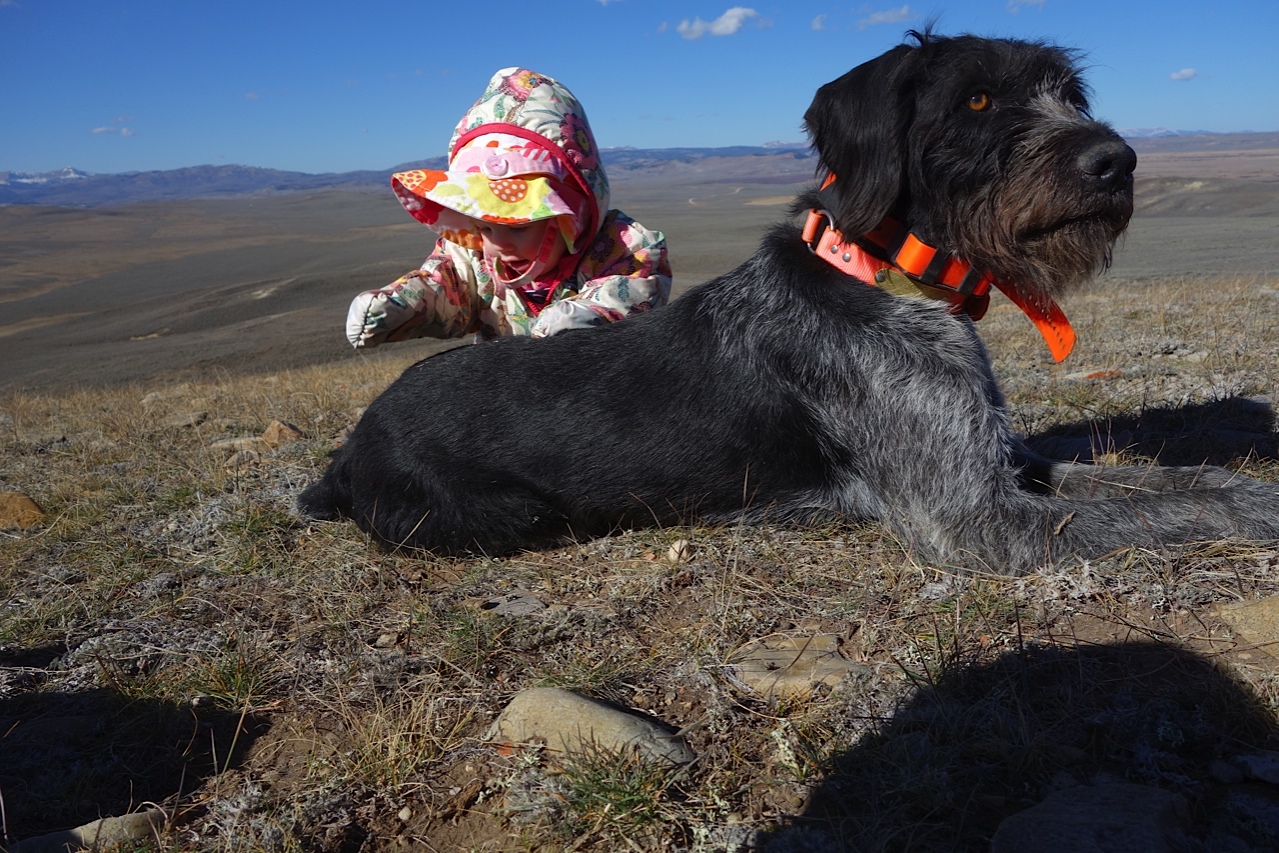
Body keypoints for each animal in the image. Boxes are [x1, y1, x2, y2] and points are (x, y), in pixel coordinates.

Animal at [299, 31, 1279, 572]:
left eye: (1068, 95)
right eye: (974, 100)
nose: (1117, 160)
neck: (883, 278)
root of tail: (347, 448)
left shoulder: (1001, 463)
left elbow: (1166, 481)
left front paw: (1241, 484)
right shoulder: (975, 518)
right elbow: (1152, 510)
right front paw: (1261, 515)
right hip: (512, 513)